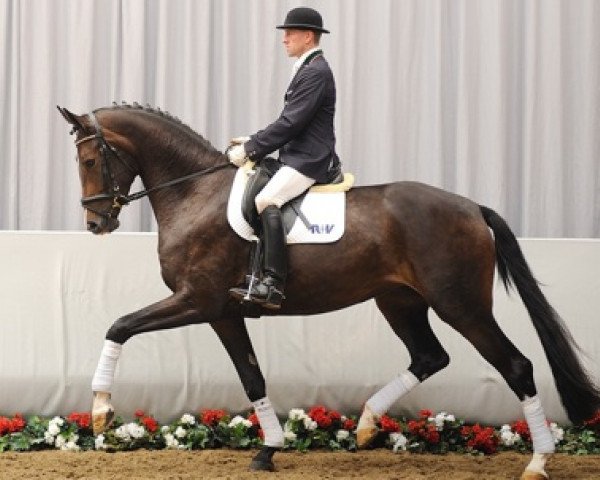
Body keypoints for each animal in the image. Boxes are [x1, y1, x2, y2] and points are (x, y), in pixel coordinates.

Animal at [57, 103, 600, 478]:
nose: (96, 223)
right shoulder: (224, 312)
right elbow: (252, 379)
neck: (194, 193)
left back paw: (538, 462)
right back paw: (366, 424)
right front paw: (269, 450)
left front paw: (101, 412)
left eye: (89, 159)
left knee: (517, 366)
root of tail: (472, 207)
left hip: (461, 305)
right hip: (399, 301)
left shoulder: (198, 301)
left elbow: (119, 326)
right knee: (429, 357)